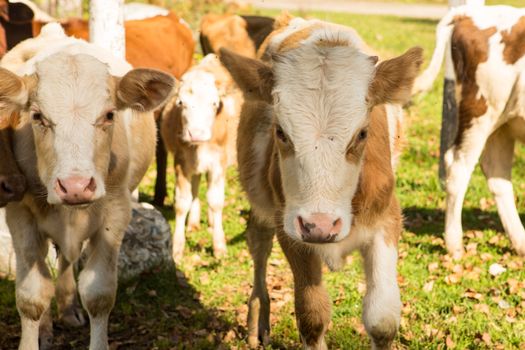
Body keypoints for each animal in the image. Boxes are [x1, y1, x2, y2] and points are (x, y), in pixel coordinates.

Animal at [0, 23, 174, 348]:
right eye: (37, 116)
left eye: (109, 115)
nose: (75, 186)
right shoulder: (20, 214)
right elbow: (32, 296)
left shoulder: (115, 213)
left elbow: (98, 294)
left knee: (67, 259)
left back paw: (68, 309)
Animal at [161, 53, 241, 262]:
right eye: (181, 103)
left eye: (214, 103)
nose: (196, 133)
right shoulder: (181, 162)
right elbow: (182, 202)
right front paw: (177, 248)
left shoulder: (218, 163)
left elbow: (216, 201)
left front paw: (219, 246)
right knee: (196, 186)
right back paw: (194, 222)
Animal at [219, 16, 420, 350]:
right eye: (281, 132)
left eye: (362, 134)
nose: (321, 226)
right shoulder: (290, 227)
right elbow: (312, 316)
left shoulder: (386, 217)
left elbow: (382, 319)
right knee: (259, 244)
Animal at [412, 4, 524, 258]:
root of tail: (469, 12)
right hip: (481, 109)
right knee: (458, 169)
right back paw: (455, 246)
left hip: (502, 122)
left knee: (497, 174)